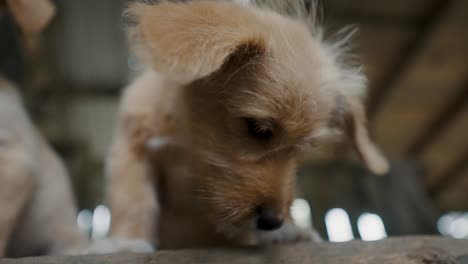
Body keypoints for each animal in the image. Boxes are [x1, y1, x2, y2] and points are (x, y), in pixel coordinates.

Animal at [107, 0, 388, 250]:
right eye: (259, 129)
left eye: (301, 149)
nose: (272, 222)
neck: (189, 147)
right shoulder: (132, 146)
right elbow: (133, 200)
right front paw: (126, 243)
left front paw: (287, 232)